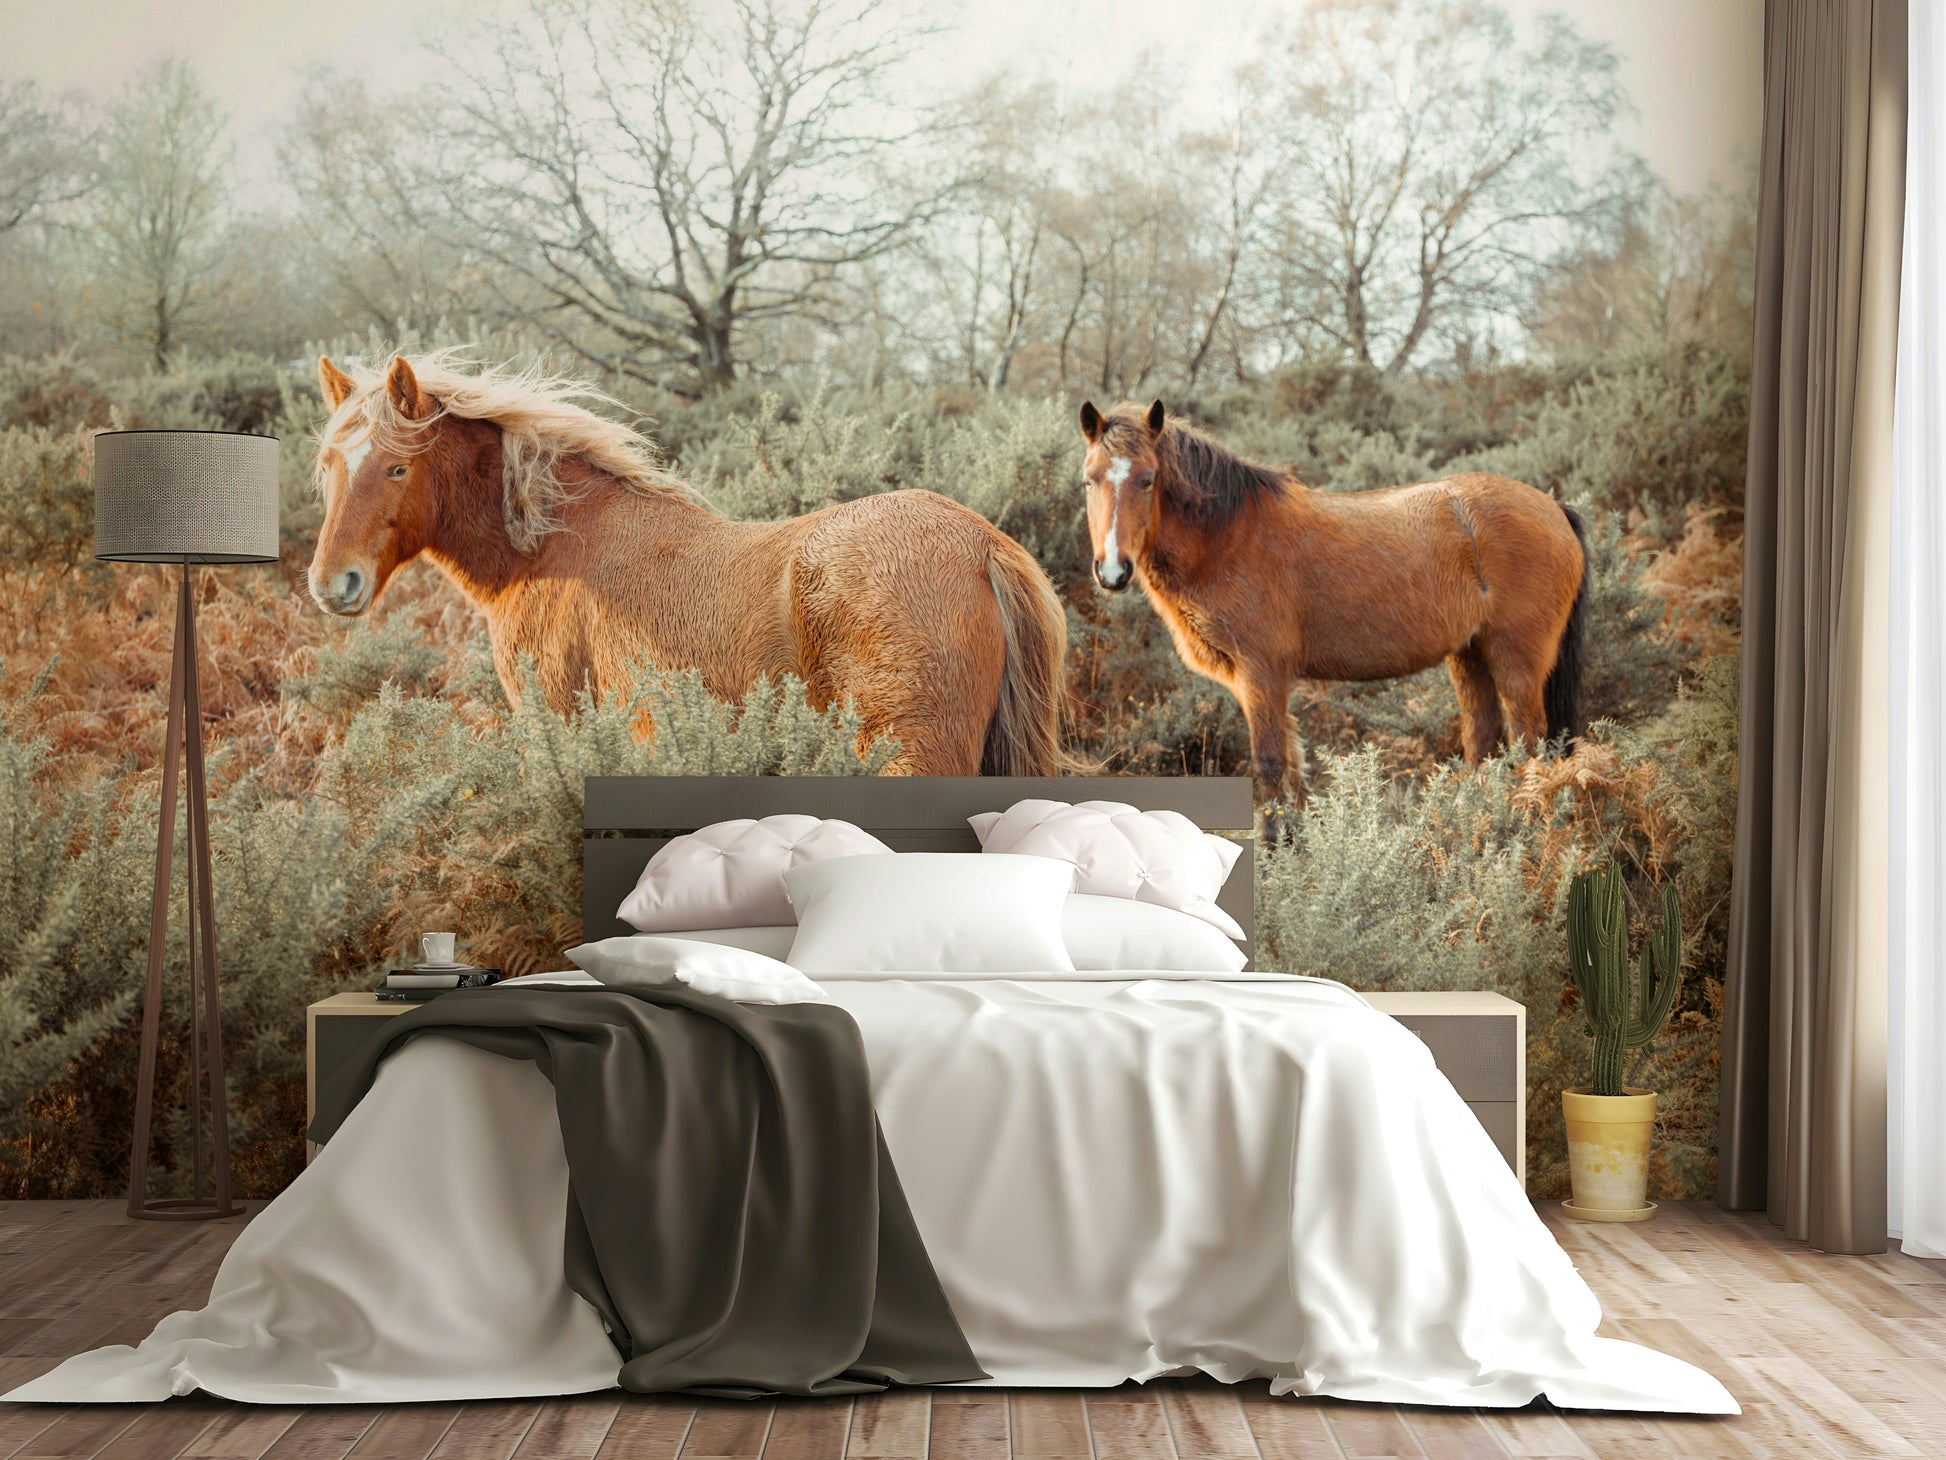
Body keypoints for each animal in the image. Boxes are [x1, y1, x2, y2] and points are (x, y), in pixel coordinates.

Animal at [1077, 398, 1587, 807]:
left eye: (1147, 480)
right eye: (1089, 480)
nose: (1113, 571)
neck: (1228, 536)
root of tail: (1555, 509)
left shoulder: (1262, 675)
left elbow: (1269, 766)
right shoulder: (1256, 684)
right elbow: (1292, 770)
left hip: (1516, 664)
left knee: (1529, 747)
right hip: (1469, 656)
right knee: (1483, 742)